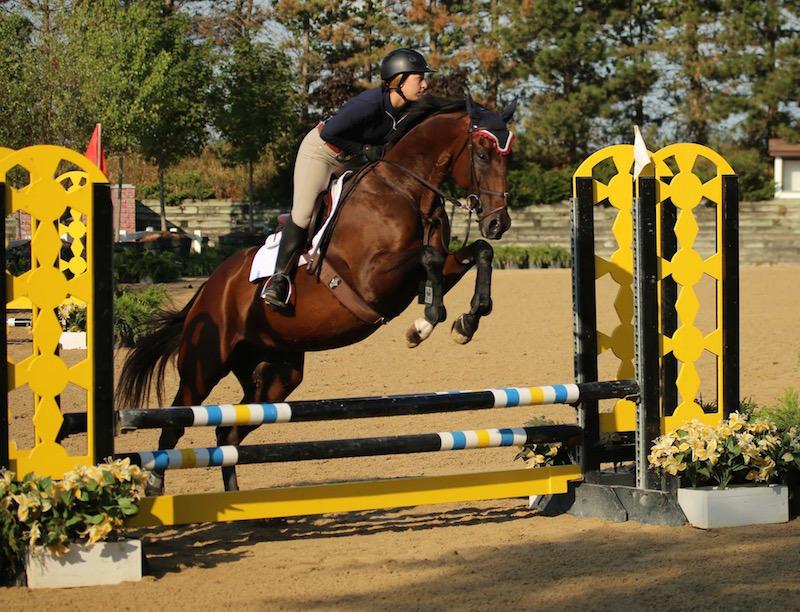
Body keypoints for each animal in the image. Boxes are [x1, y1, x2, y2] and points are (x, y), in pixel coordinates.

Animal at [119, 97, 520, 498]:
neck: (407, 190)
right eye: (482, 153)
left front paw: (466, 322)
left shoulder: (429, 270)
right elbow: (429, 258)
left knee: (227, 432)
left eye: (508, 156)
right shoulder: (371, 279)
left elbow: (479, 252)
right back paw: (155, 488)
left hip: (275, 378)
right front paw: (421, 326)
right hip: (204, 366)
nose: (498, 223)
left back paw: (237, 502)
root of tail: (208, 289)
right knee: (175, 425)